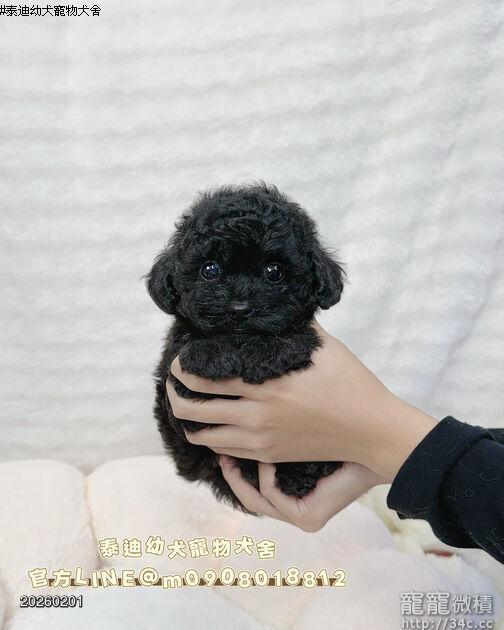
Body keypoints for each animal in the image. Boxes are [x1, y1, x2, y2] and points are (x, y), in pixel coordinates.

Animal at [147, 183, 345, 512]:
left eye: (274, 272)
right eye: (210, 269)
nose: (239, 308)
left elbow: (293, 339)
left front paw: (264, 354)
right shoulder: (177, 395)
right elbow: (187, 349)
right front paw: (209, 355)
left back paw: (303, 471)